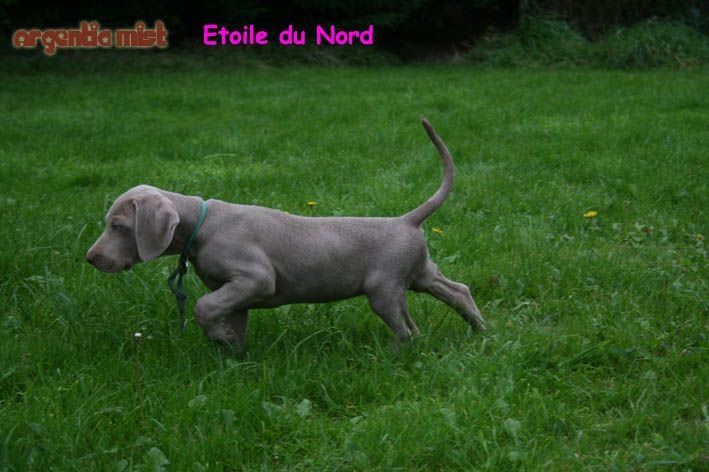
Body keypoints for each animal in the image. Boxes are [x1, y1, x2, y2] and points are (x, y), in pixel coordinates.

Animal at [86, 118, 485, 349]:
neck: (201, 224)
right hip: (419, 274)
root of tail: (406, 220)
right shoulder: (235, 293)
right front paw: (230, 354)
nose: (91, 259)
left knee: (408, 330)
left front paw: (218, 337)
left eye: (118, 227)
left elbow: (203, 307)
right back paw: (482, 332)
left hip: (384, 289)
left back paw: (399, 355)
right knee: (457, 290)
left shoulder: (256, 279)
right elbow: (229, 320)